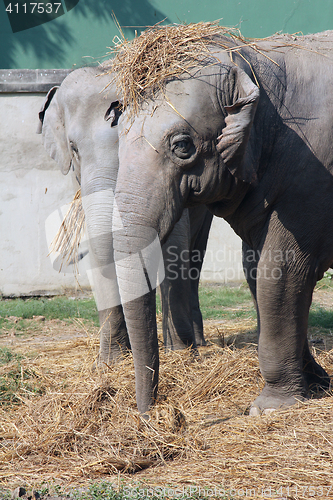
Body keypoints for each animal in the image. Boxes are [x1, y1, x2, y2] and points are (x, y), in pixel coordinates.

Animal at [37, 66, 211, 364]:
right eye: (74, 148)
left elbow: (174, 246)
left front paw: (181, 356)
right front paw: (111, 363)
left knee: (195, 254)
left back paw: (197, 343)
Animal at [112, 29, 332, 416]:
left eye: (183, 146)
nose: (149, 413)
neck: (249, 59)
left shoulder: (311, 179)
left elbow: (281, 271)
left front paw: (268, 408)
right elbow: (255, 268)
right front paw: (318, 384)